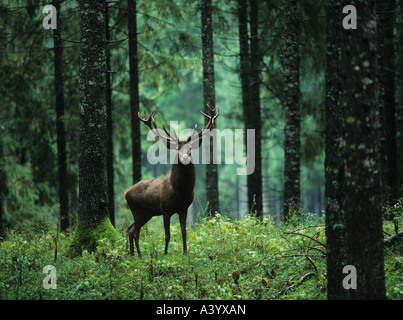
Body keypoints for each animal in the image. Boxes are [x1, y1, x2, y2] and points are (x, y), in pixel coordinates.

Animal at [126, 106, 221, 256]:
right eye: (177, 149)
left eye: (189, 148)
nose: (184, 158)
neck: (180, 191)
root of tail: (126, 193)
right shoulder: (165, 209)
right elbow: (167, 234)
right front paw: (165, 253)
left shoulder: (184, 208)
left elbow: (184, 232)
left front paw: (185, 252)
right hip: (138, 211)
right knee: (135, 232)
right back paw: (139, 255)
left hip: (146, 213)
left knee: (130, 229)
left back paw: (132, 254)